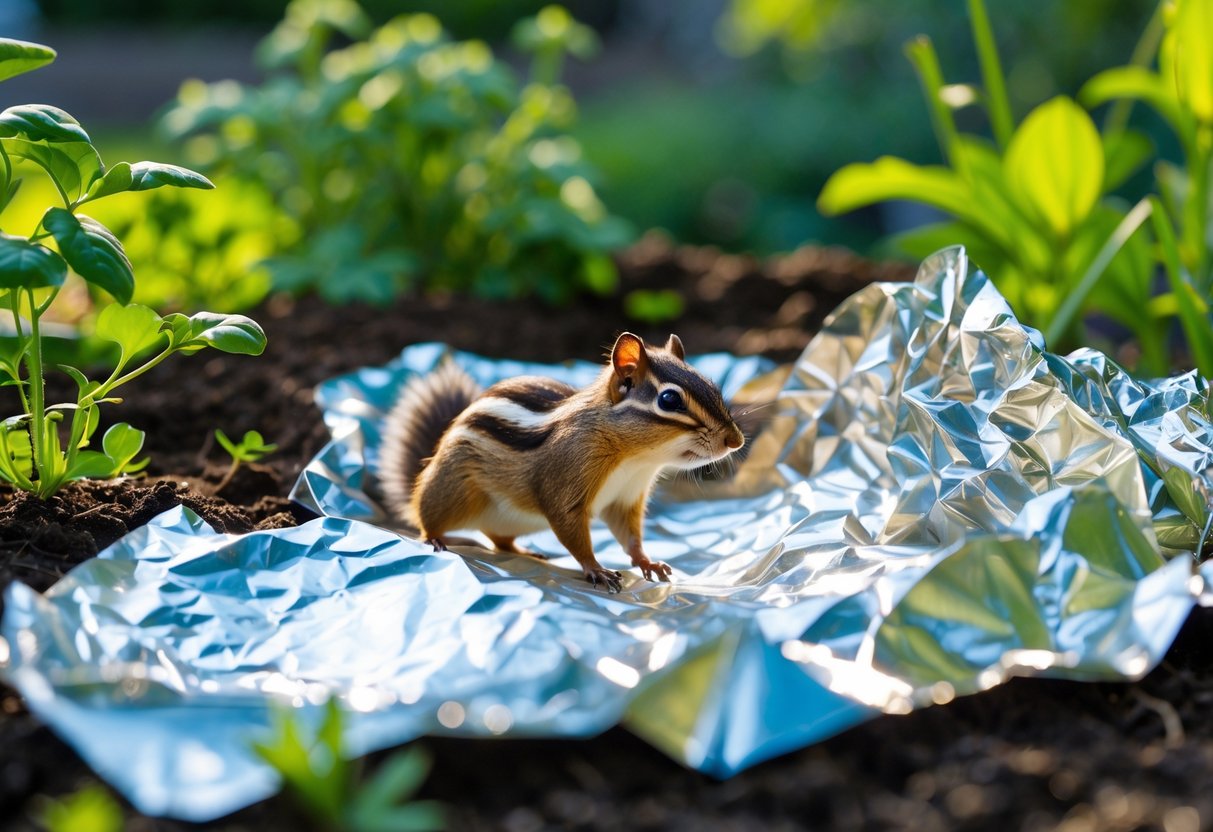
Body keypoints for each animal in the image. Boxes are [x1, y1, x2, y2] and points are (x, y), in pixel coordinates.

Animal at [379, 332, 745, 592]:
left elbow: (630, 536)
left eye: (712, 385)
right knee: (425, 518)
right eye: (669, 399)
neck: (636, 459)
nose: (736, 441)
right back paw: (434, 540)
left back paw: (525, 552)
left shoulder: (625, 499)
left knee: (497, 539)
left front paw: (648, 563)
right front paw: (596, 568)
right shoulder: (565, 485)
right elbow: (571, 529)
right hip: (450, 493)